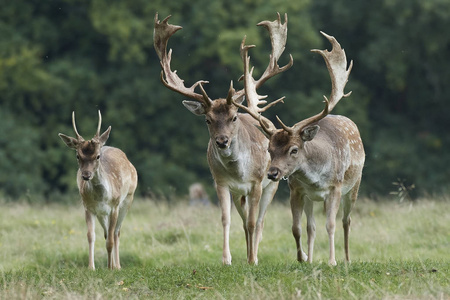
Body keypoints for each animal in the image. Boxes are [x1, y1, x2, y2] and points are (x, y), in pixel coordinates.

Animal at [59, 110, 138, 270]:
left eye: (97, 156)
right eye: (78, 155)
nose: (86, 175)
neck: (101, 197)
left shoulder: (114, 206)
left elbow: (111, 239)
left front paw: (109, 268)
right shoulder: (88, 207)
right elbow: (91, 236)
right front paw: (92, 267)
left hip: (128, 199)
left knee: (116, 233)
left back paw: (117, 266)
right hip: (102, 213)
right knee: (107, 233)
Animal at [153, 12, 294, 264]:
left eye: (234, 116)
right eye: (207, 119)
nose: (222, 141)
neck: (239, 172)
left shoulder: (257, 183)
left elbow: (253, 222)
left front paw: (252, 259)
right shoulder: (221, 183)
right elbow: (226, 220)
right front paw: (226, 259)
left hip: (273, 184)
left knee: (259, 222)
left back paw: (254, 255)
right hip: (240, 194)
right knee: (244, 221)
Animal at [236, 31, 366, 264]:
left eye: (294, 149)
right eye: (269, 149)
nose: (273, 173)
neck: (316, 178)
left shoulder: (335, 188)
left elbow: (330, 225)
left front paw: (332, 261)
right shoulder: (296, 190)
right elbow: (297, 228)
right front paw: (302, 258)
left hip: (354, 184)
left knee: (346, 221)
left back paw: (347, 259)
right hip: (311, 199)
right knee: (311, 227)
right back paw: (312, 258)